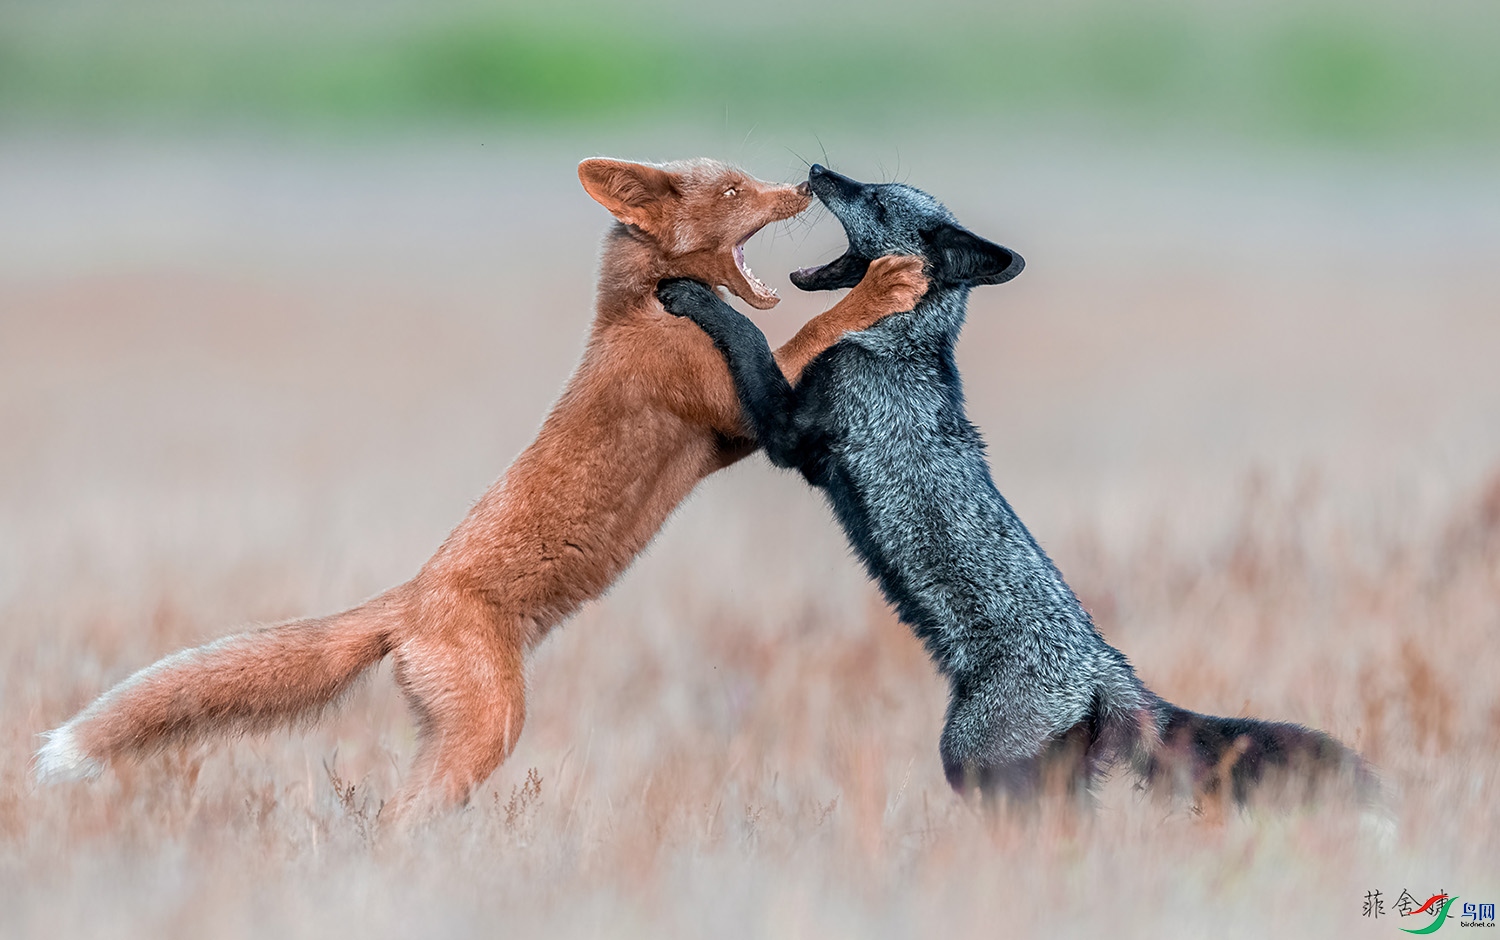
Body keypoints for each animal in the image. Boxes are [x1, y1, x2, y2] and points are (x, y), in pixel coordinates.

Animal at [33, 158, 928, 819]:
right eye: (738, 191)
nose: (805, 182)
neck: (646, 312)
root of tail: (404, 602)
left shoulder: (728, 444)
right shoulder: (742, 406)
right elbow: (816, 329)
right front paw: (885, 286)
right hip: (491, 729)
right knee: (397, 817)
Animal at [657, 164, 1374, 809]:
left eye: (876, 199)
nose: (817, 170)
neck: (898, 348)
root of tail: (1108, 669)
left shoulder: (791, 434)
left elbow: (749, 338)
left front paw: (694, 297)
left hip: (972, 763)